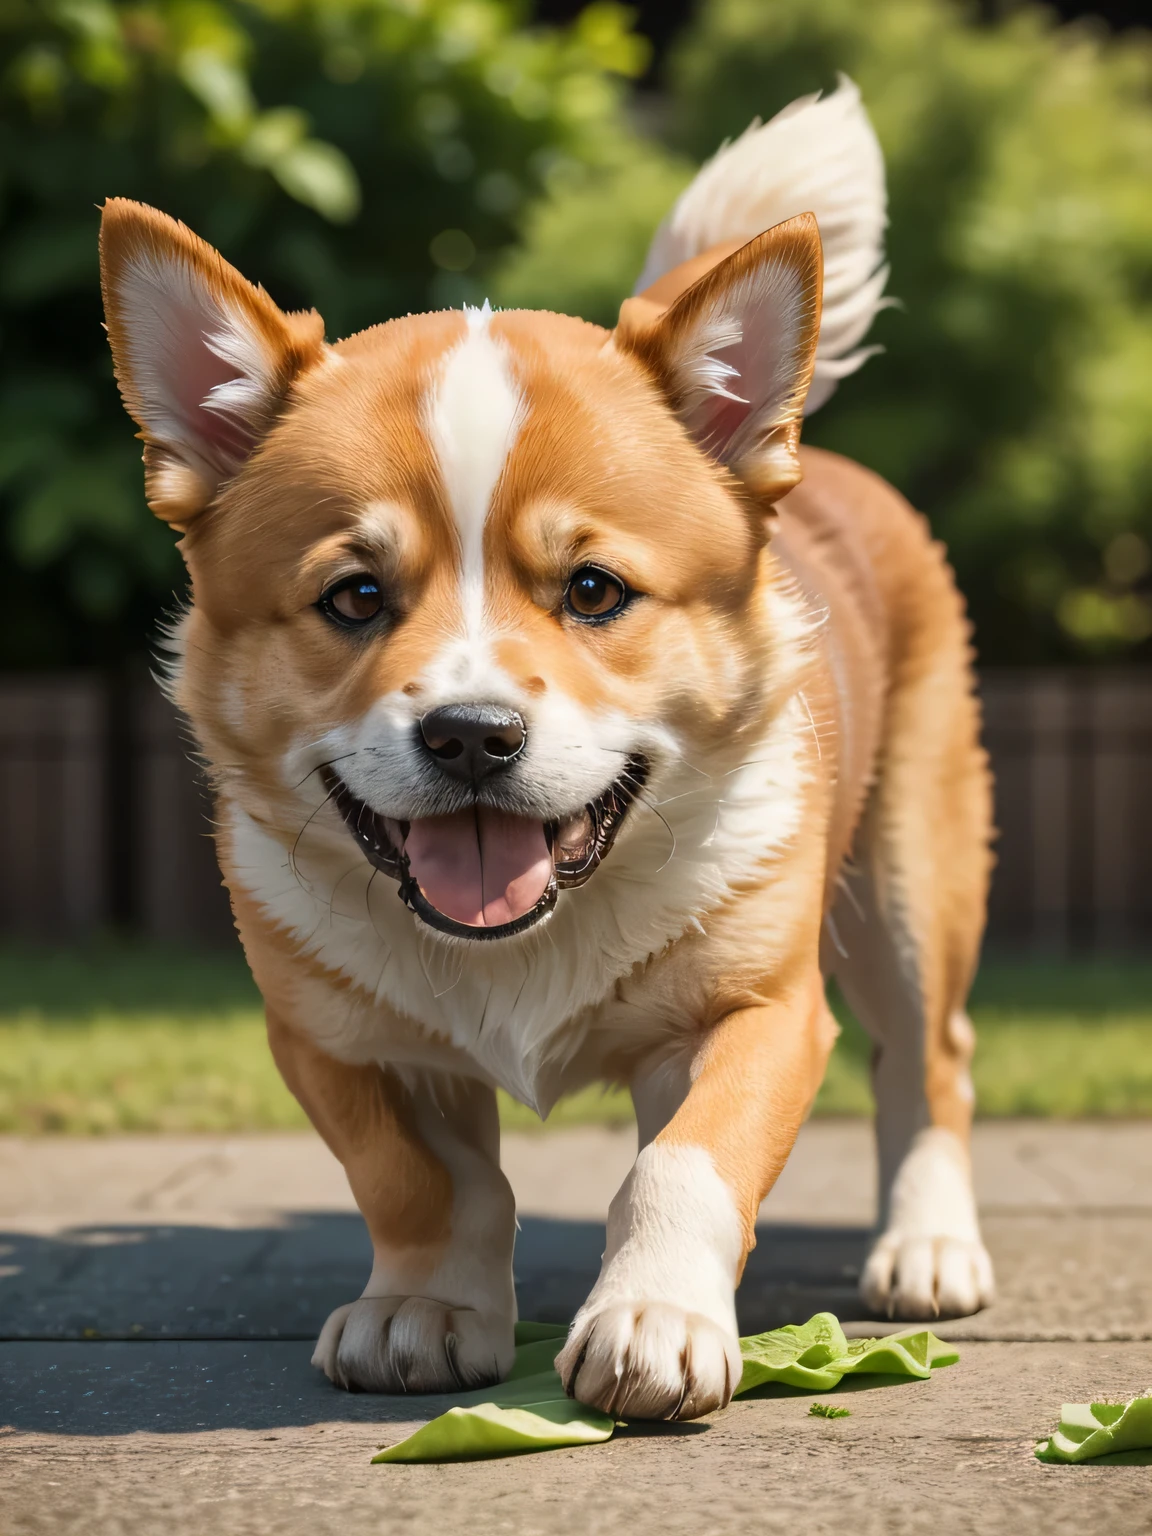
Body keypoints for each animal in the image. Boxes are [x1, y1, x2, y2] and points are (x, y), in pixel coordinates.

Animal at [99, 77, 995, 1419]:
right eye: (355, 596)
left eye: (592, 589)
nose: (472, 737)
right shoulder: (332, 1040)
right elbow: (419, 1181)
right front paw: (424, 1309)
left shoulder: (760, 1008)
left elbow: (685, 1162)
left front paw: (655, 1317)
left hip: (909, 887)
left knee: (932, 1060)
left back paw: (929, 1245)